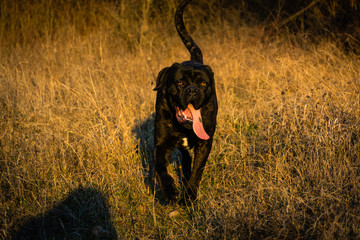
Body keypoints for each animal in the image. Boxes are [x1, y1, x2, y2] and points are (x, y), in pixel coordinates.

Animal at [153, 0, 218, 203]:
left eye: (203, 83)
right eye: (180, 82)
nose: (192, 90)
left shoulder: (204, 144)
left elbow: (197, 171)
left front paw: (189, 196)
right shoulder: (161, 145)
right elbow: (161, 170)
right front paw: (170, 192)